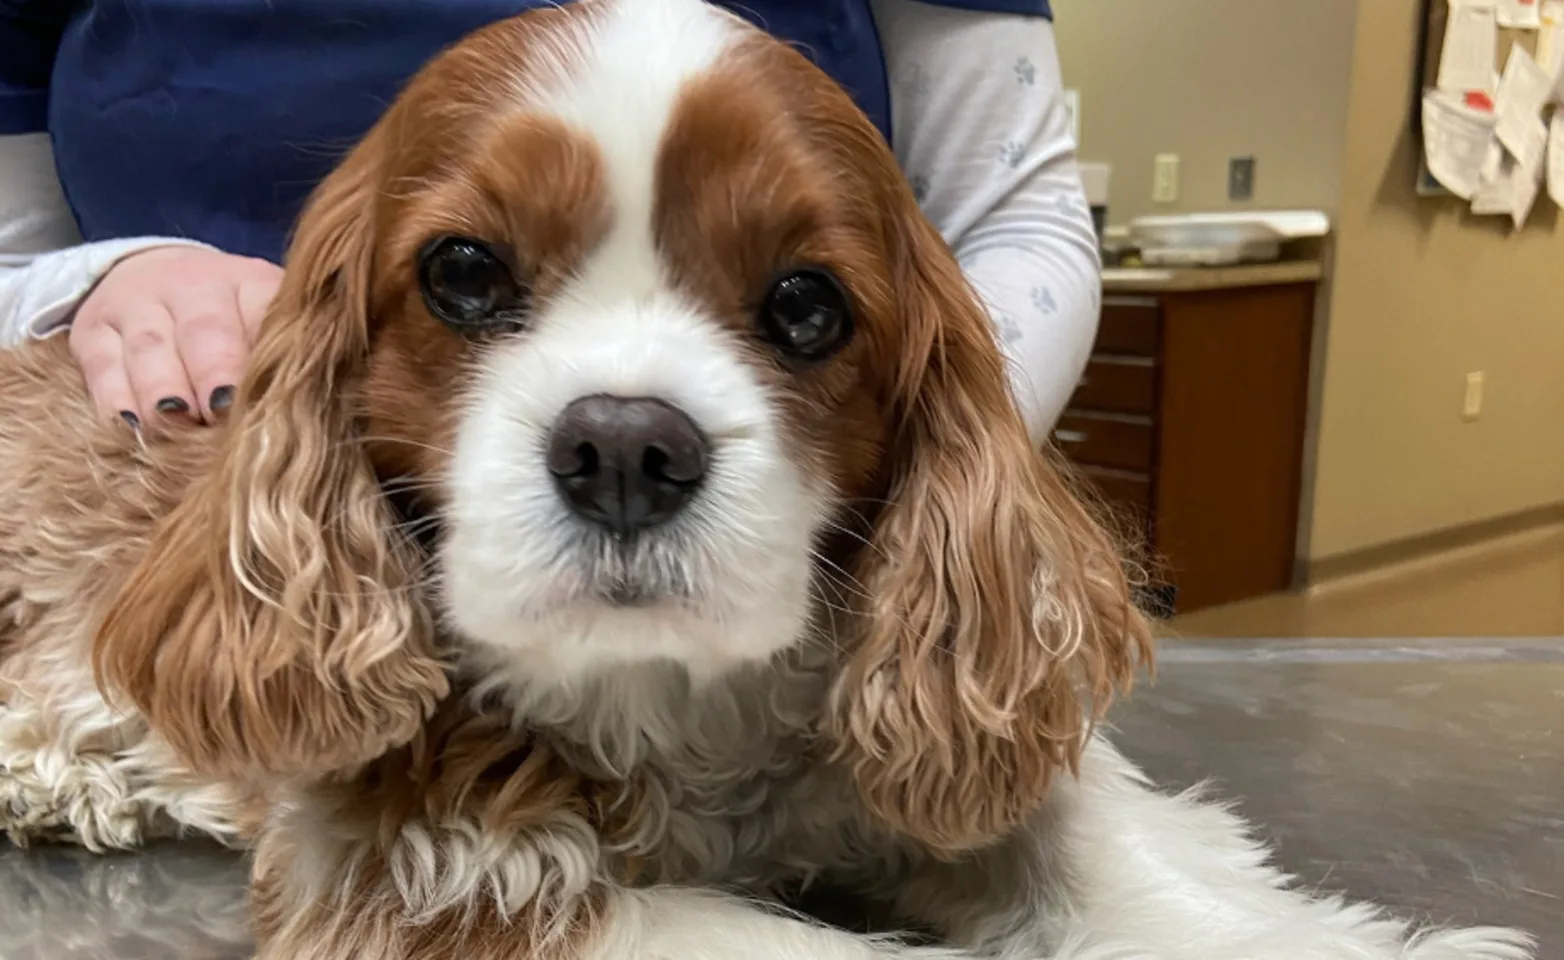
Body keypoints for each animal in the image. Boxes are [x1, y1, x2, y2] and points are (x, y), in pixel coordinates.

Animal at [0, 1, 1538, 960]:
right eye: (463, 273)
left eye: (806, 306)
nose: (626, 445)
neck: (679, 702)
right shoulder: (427, 867)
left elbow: (1114, 860)